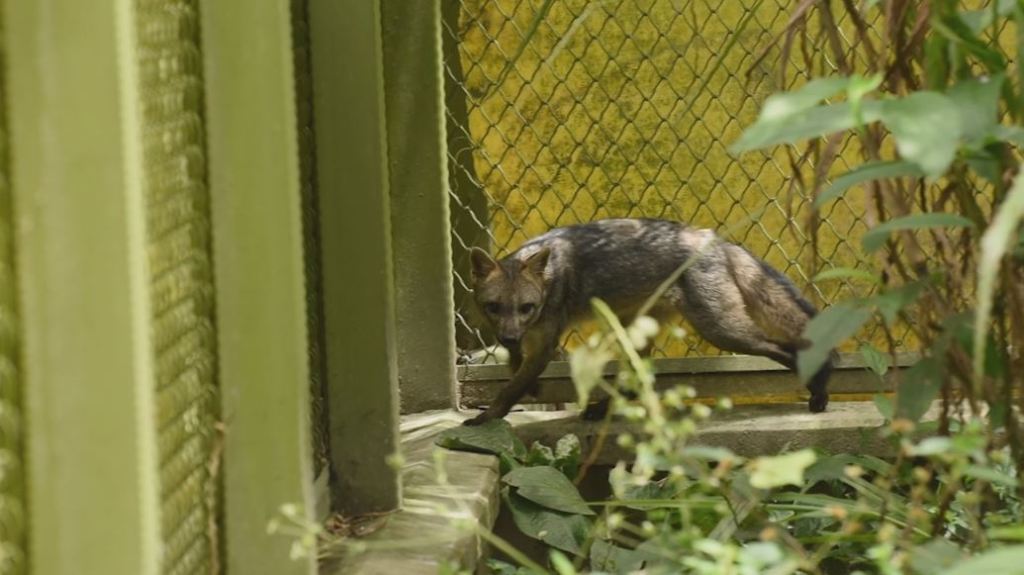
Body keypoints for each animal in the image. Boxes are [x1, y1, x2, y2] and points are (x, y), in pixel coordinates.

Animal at [463, 217, 834, 426]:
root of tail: (709, 237)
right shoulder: (532, 339)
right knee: (638, 376)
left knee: (784, 349)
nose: (510, 337)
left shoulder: (544, 340)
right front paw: (529, 385)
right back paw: (602, 409)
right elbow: (515, 370)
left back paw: (819, 390)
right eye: (494, 307)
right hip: (634, 328)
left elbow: (509, 388)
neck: (550, 277)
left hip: (723, 331)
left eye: (526, 306)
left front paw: (488, 417)